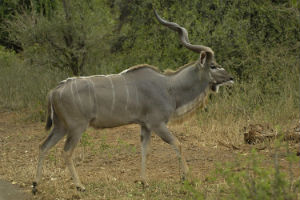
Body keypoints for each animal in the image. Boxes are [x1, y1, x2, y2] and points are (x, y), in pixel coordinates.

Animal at [32, 9, 234, 194]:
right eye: (213, 66)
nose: (231, 77)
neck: (169, 86)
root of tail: (54, 91)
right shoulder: (157, 123)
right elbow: (177, 143)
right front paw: (186, 178)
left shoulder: (145, 126)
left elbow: (145, 150)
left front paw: (144, 182)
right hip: (76, 127)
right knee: (66, 152)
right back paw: (79, 186)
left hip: (61, 127)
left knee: (43, 146)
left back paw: (35, 185)